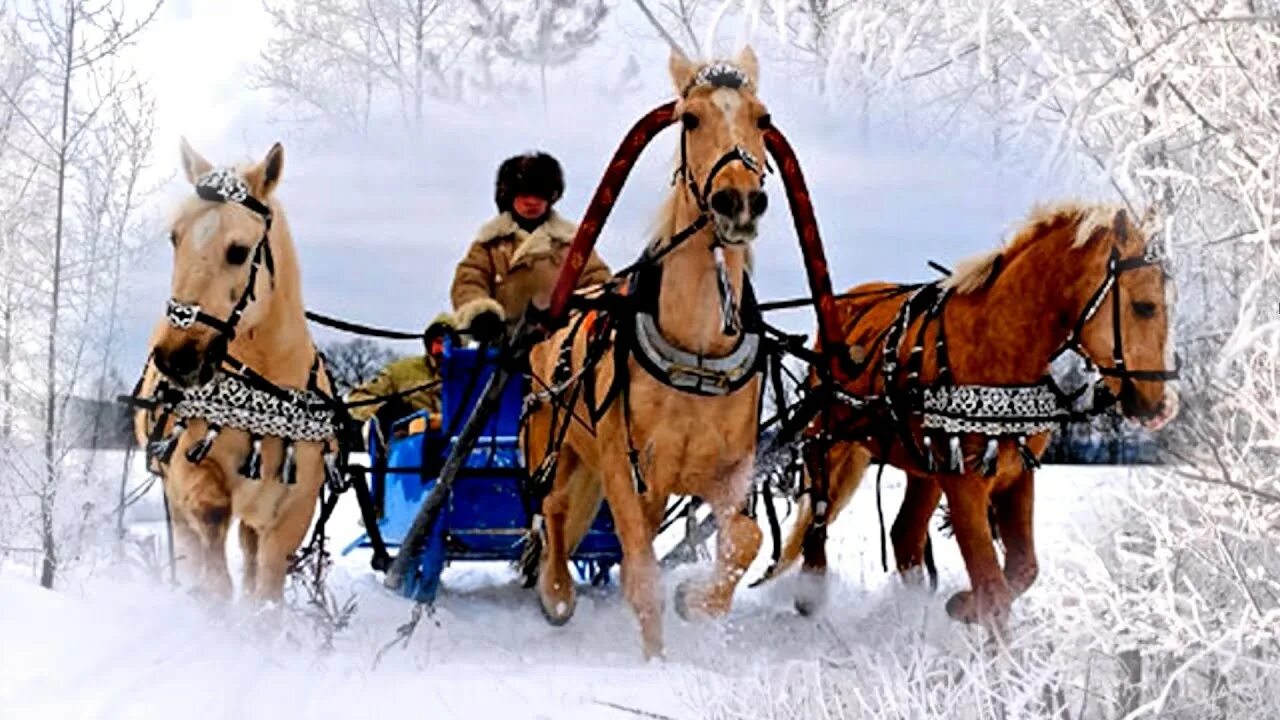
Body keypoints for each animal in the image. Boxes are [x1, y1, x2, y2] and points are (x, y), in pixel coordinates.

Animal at [134, 140, 330, 599]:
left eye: (238, 251)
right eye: (175, 237)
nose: (176, 358)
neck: (266, 389)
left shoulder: (291, 511)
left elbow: (267, 594)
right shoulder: (191, 480)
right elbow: (213, 557)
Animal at [524, 47, 773, 661]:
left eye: (762, 119)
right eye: (690, 119)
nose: (739, 201)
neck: (697, 354)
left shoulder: (730, 469)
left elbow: (745, 538)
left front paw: (697, 600)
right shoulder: (623, 465)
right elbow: (639, 571)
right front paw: (656, 662)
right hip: (554, 439)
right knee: (553, 507)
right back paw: (556, 591)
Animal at [762, 199, 1172, 622]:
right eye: (1144, 307)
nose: (1158, 405)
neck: (996, 344)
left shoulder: (1016, 473)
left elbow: (1022, 568)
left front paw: (962, 606)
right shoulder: (964, 481)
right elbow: (991, 583)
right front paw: (976, 613)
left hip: (921, 467)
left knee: (904, 534)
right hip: (829, 438)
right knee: (819, 513)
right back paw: (810, 592)